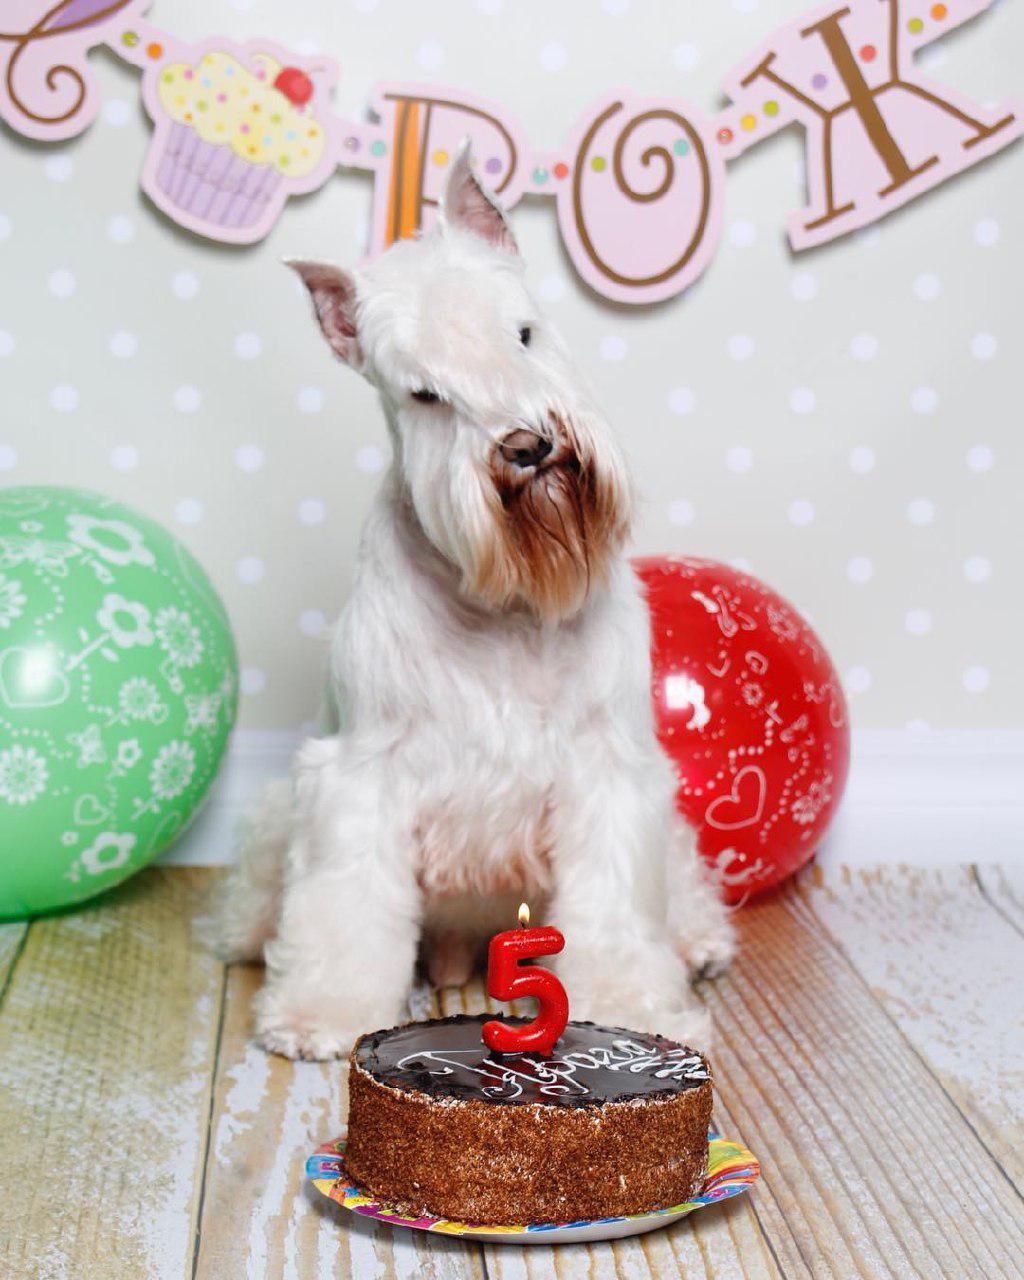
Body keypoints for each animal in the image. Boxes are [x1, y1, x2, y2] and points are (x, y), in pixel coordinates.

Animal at [216, 142, 732, 1059]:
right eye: (424, 392)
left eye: (522, 331)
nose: (528, 446)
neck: (510, 600)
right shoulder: (358, 775)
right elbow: (345, 903)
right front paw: (323, 1012)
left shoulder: (611, 773)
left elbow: (614, 909)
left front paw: (633, 1004)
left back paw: (700, 937)